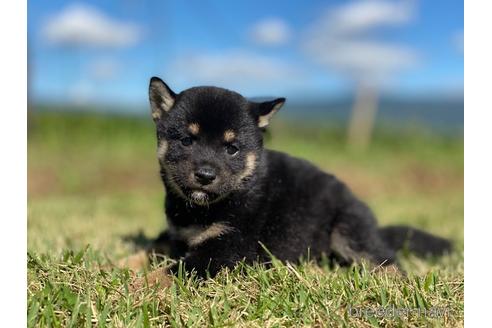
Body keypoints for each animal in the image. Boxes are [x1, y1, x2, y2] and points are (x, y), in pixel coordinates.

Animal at [133, 76, 452, 284]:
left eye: (232, 148)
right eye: (187, 141)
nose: (205, 175)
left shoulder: (226, 248)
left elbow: (170, 271)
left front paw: (137, 287)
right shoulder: (177, 237)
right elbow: (150, 249)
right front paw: (125, 265)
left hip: (348, 230)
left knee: (388, 263)